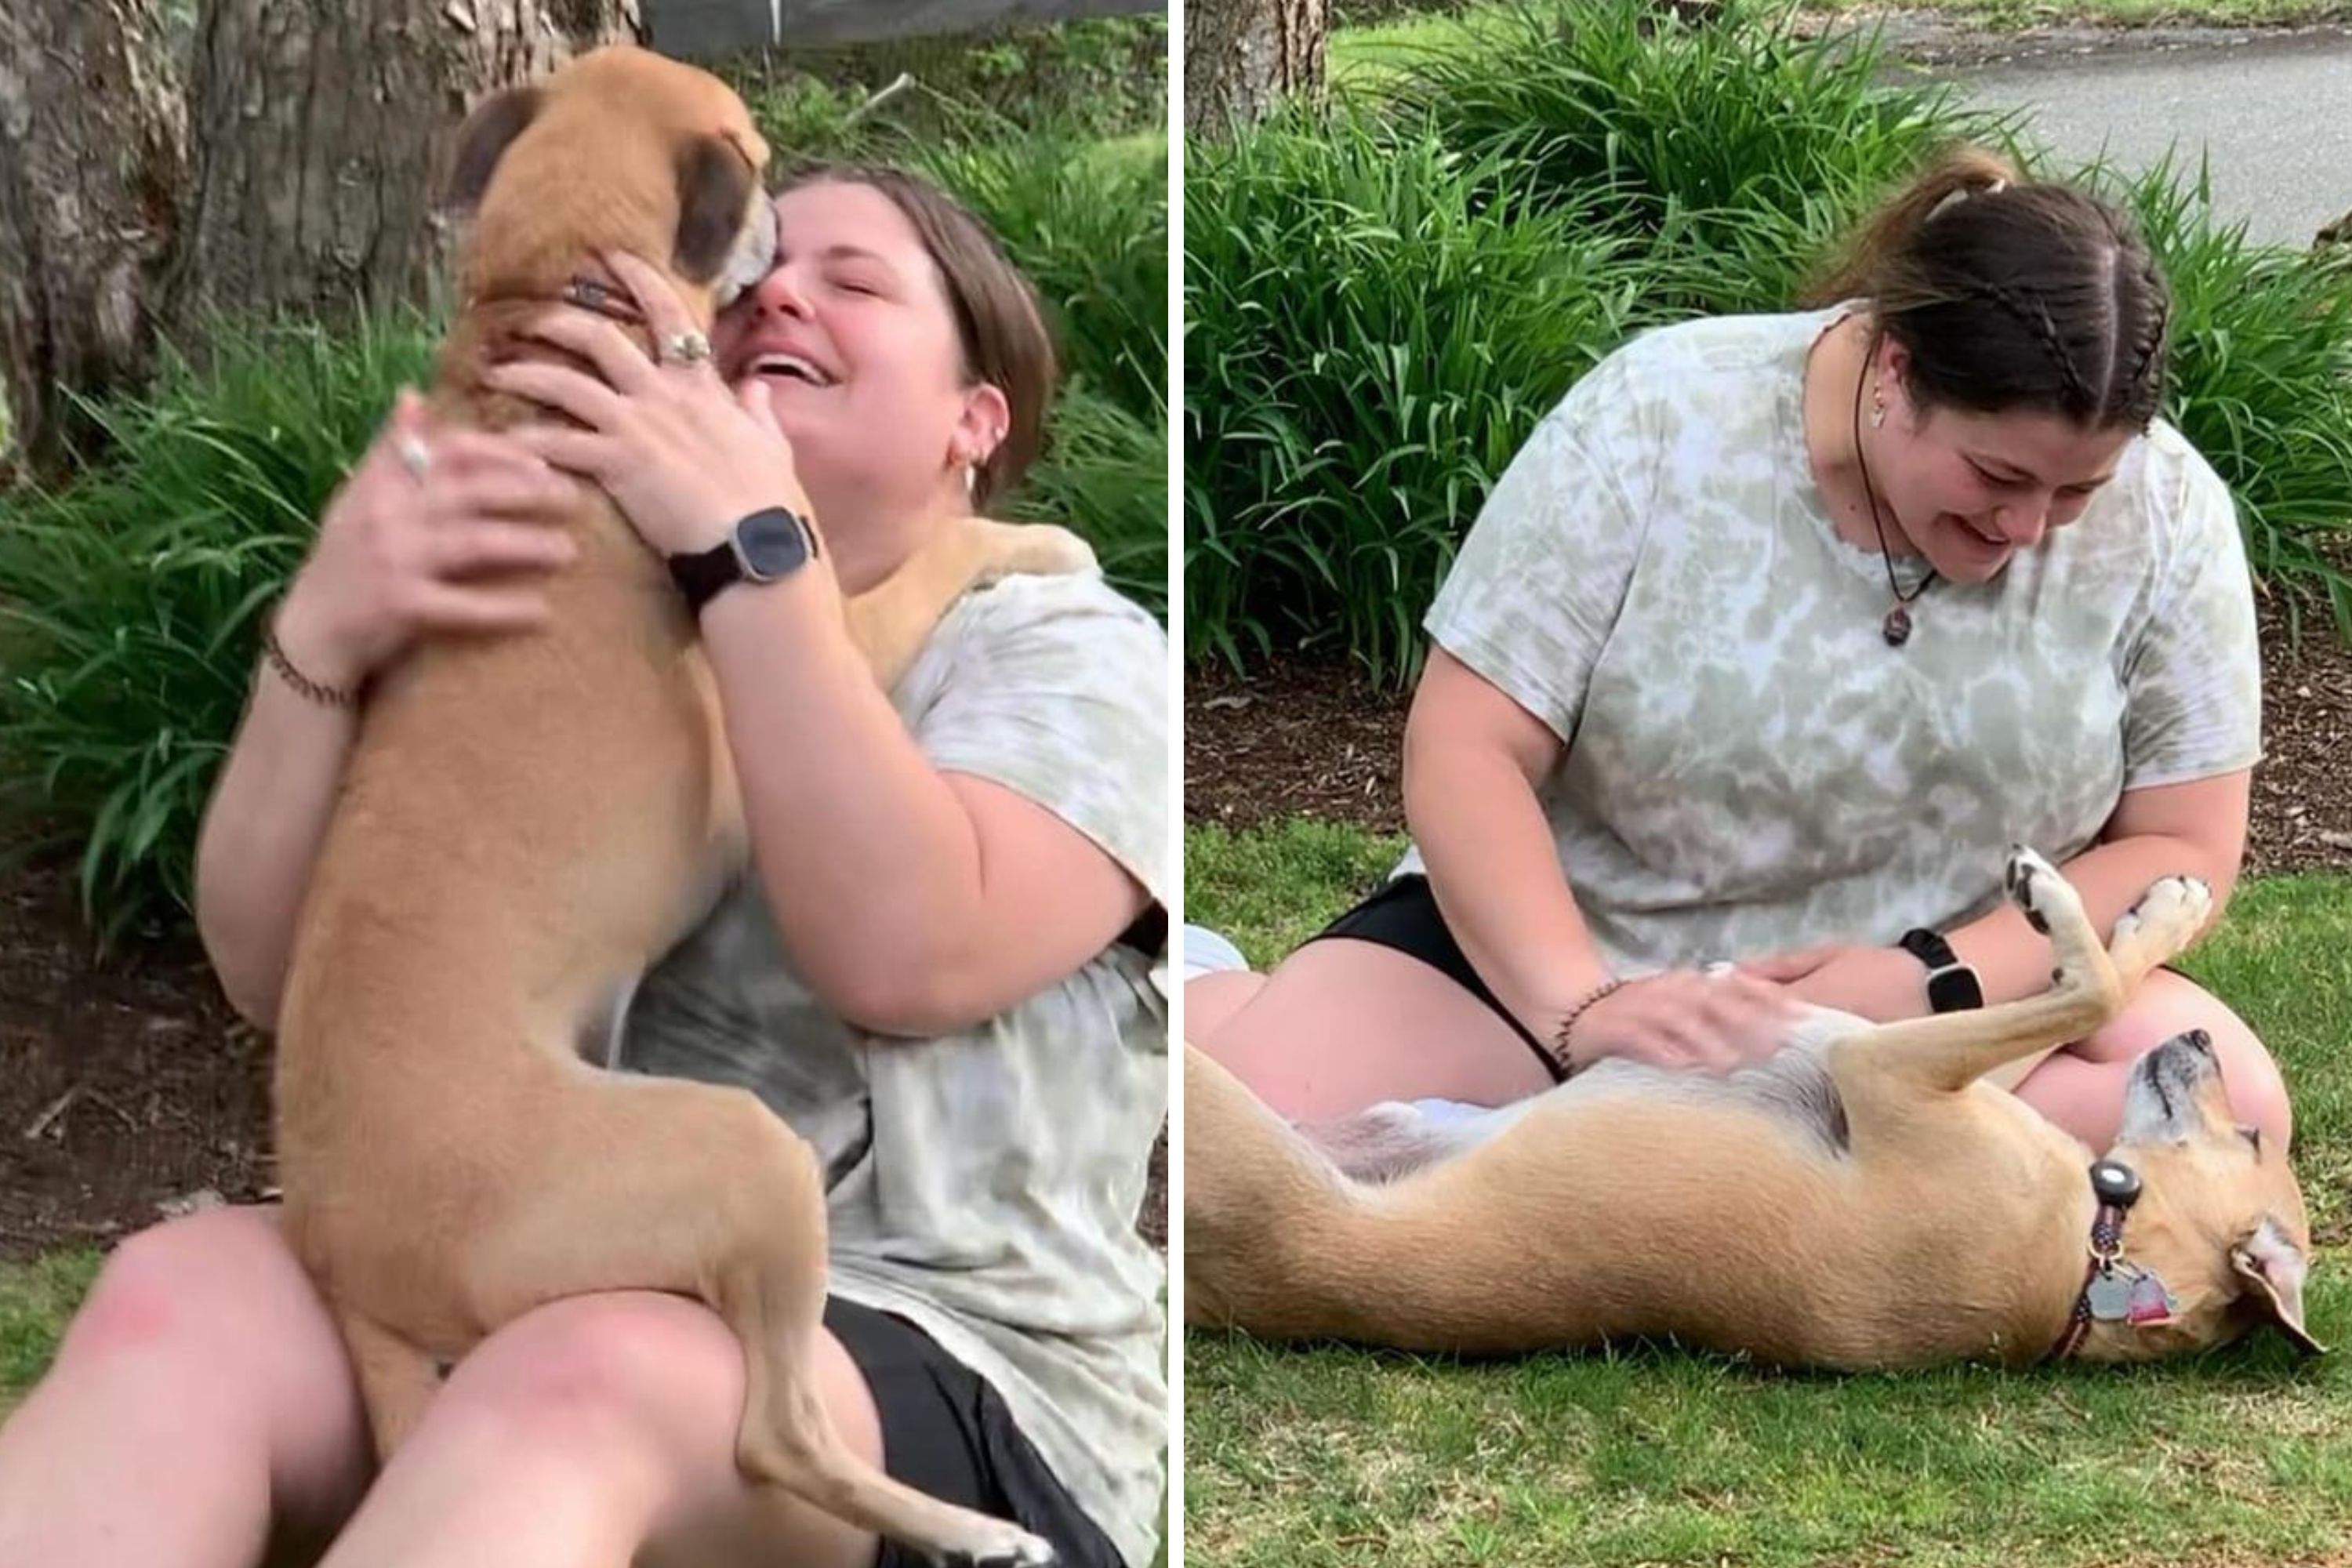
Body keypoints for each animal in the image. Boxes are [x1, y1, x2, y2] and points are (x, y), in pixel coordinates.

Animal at [273, 45, 1082, 1568]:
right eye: (760, 165)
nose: (785, 240)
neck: (556, 300)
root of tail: (336, 1258)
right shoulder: (824, 621)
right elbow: (928, 553)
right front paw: (1044, 535)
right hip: (735, 1155)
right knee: (776, 1433)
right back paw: (963, 1525)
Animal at [1185, 846, 2324, 1373]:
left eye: (2250, 1131)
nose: (2200, 1042)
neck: (2092, 1252)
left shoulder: (1880, 1066)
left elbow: (2087, 993)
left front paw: (2057, 899)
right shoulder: (1917, 1056)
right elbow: (2098, 984)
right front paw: (2158, 909)